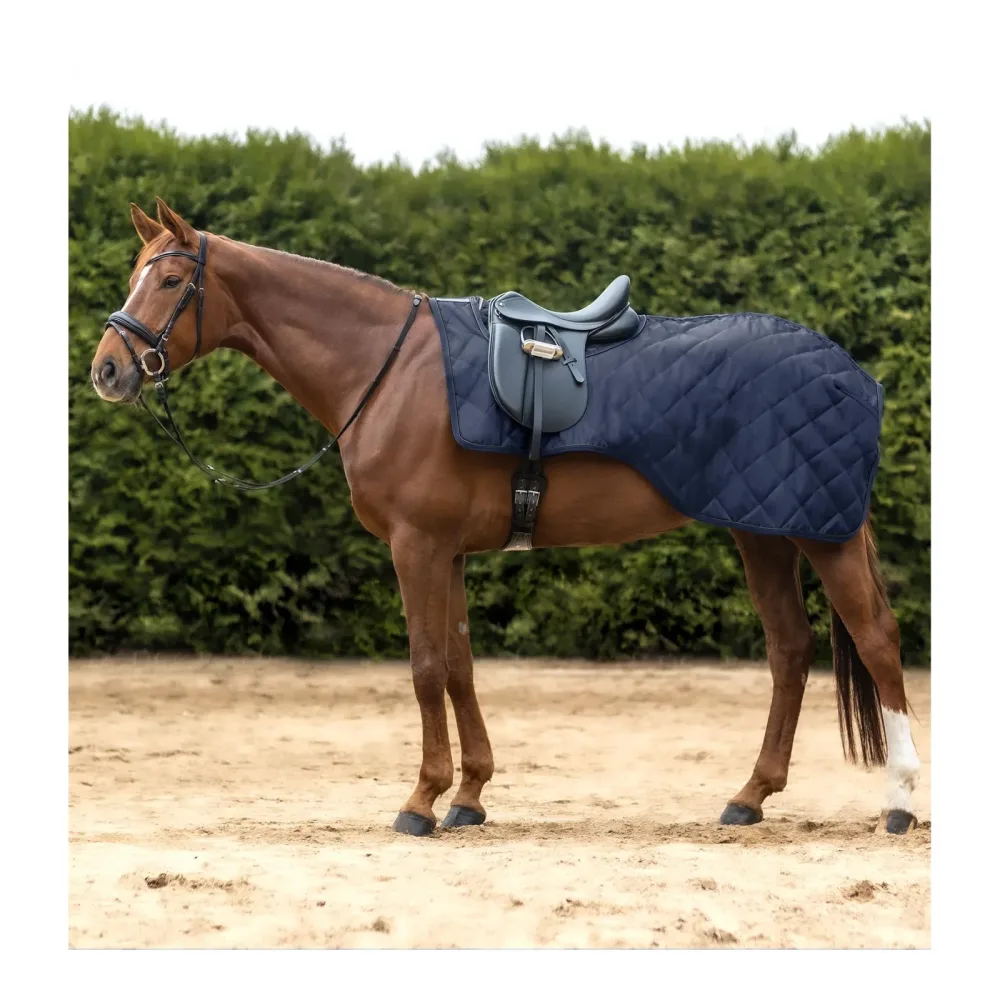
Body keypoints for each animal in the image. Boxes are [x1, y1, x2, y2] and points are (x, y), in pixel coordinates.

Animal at [87, 198, 922, 837]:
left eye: (170, 279)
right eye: (134, 276)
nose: (108, 369)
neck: (388, 371)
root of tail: (849, 370)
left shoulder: (417, 547)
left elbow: (426, 666)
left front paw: (420, 801)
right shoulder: (448, 552)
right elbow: (459, 664)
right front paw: (470, 796)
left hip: (821, 533)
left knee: (876, 641)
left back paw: (900, 802)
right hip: (763, 531)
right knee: (790, 650)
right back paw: (750, 797)